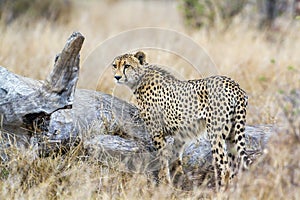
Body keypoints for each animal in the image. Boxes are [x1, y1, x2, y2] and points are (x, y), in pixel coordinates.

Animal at [111, 50, 250, 188]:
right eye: (114, 66)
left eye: (127, 66)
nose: (117, 77)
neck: (140, 79)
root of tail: (232, 84)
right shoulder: (181, 134)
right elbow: (176, 158)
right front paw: (179, 179)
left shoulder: (157, 132)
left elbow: (163, 159)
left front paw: (165, 182)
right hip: (232, 135)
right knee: (234, 166)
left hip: (216, 134)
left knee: (225, 168)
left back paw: (221, 190)